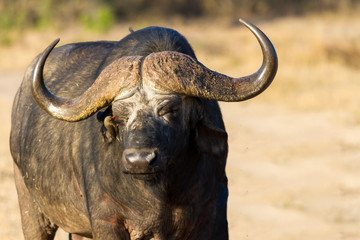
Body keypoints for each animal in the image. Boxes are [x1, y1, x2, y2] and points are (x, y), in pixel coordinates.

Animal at [9, 19, 278, 240]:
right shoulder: (107, 220)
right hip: (31, 210)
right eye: (118, 115)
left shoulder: (212, 214)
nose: (139, 161)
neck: (159, 192)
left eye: (170, 109)